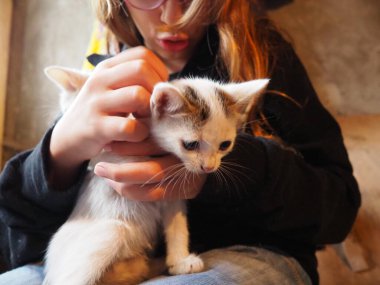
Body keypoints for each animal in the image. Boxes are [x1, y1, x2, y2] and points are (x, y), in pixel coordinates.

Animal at [43, 65, 268, 282]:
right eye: (190, 145)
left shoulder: (173, 196)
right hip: (111, 232)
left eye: (224, 145)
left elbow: (178, 225)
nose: (209, 167)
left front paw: (179, 261)